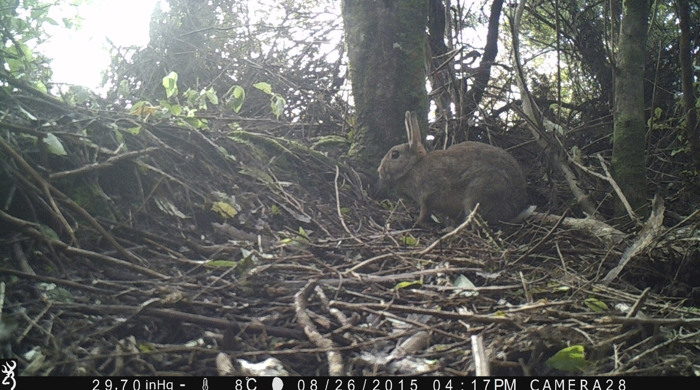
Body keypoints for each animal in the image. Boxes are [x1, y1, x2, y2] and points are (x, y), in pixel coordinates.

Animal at [378, 109, 524, 225]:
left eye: (395, 154)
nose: (380, 171)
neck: (414, 166)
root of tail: (516, 205)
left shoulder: (426, 196)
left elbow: (424, 212)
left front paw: (416, 223)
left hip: (480, 191)